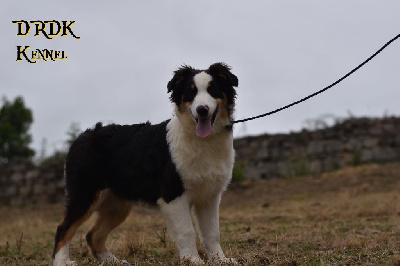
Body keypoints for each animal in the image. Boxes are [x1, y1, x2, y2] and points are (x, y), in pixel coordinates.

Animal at [50, 62, 238, 266]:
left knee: (93, 235)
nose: (202, 109)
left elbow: (212, 232)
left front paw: (221, 259)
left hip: (116, 204)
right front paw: (193, 260)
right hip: (85, 193)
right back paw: (63, 262)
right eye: (191, 92)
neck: (202, 140)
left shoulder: (210, 197)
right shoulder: (172, 195)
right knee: (63, 228)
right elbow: (186, 230)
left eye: (213, 90)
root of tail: (81, 136)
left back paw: (112, 261)